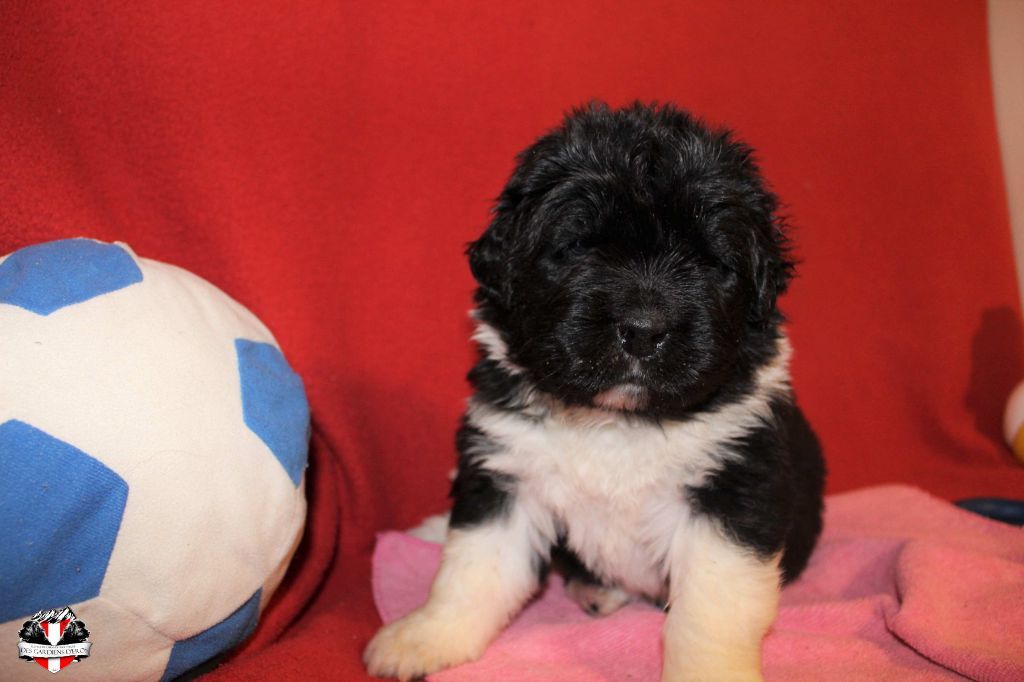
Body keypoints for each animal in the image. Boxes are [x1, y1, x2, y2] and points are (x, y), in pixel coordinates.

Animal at [364, 102, 825, 681]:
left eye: (710, 261)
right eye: (580, 248)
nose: (645, 330)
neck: (617, 421)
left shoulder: (733, 492)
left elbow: (709, 613)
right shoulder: (507, 471)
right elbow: (470, 570)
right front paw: (425, 636)